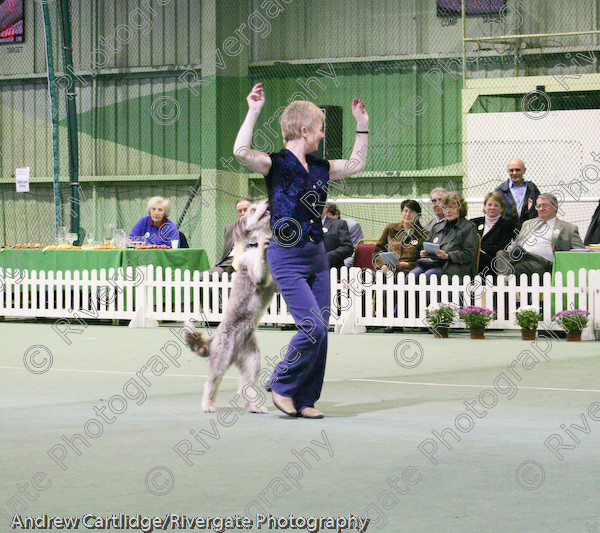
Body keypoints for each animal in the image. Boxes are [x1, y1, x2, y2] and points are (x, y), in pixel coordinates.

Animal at [183, 200, 276, 412]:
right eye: (252, 209)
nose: (267, 201)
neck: (253, 244)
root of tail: (213, 340)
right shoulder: (256, 273)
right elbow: (261, 267)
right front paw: (264, 248)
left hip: (252, 361)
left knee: (245, 387)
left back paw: (255, 407)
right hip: (221, 359)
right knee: (211, 384)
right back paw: (208, 405)